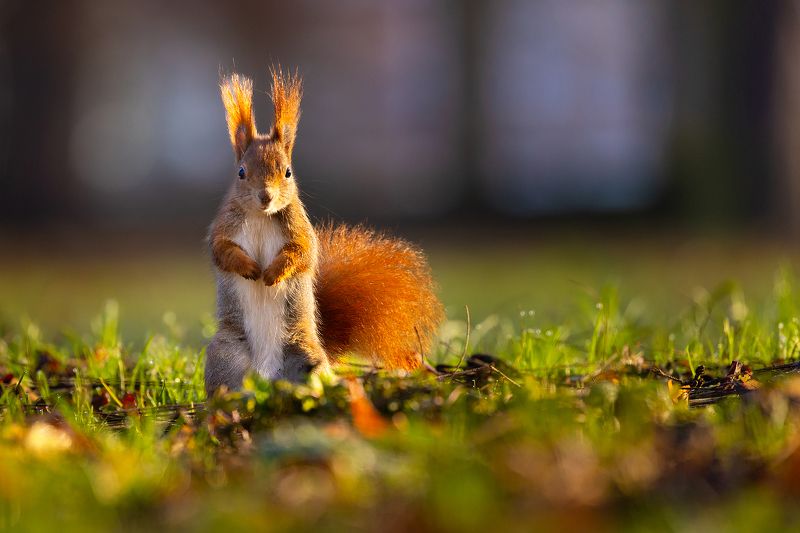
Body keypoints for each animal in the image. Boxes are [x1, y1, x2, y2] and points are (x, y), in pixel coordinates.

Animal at [205, 68, 444, 395]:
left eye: (288, 172)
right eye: (241, 172)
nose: (266, 197)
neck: (261, 216)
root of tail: (269, 376)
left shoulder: (300, 231)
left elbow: (302, 253)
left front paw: (273, 273)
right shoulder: (224, 228)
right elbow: (222, 251)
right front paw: (249, 267)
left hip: (305, 353)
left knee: (313, 375)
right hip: (226, 355)